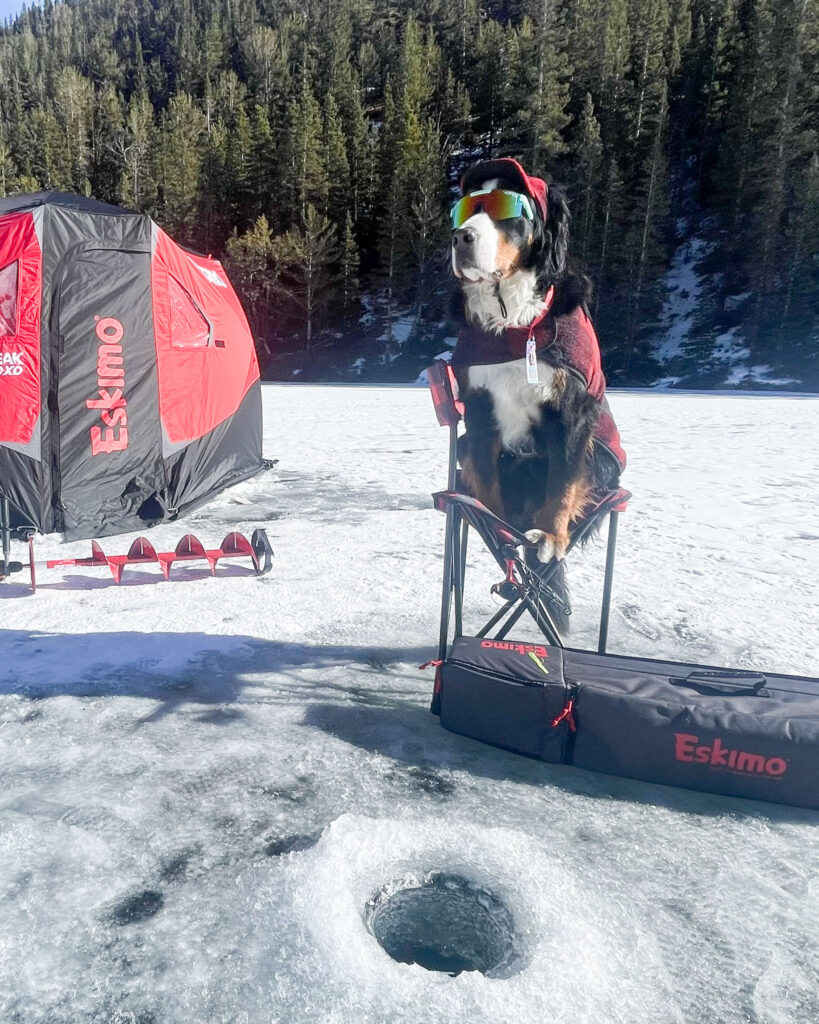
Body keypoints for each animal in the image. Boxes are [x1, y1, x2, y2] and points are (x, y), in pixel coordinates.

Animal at [450, 156, 622, 626]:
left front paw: (549, 535)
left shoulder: (573, 410)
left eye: (506, 209)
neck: (512, 323)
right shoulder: (478, 408)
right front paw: (496, 527)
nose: (460, 237)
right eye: (464, 210)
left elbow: (562, 482)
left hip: (603, 457)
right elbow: (487, 475)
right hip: (464, 440)